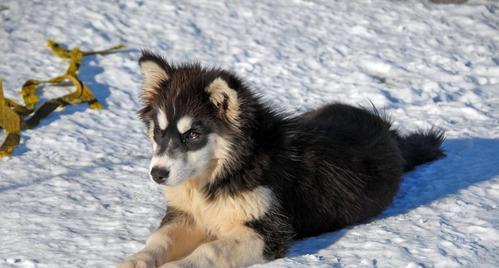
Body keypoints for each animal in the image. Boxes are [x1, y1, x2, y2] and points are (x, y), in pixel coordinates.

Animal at [119, 52, 448, 268]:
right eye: (158, 132)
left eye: (193, 135)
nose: (158, 174)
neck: (224, 171)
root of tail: (387, 130)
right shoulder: (185, 214)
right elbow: (159, 240)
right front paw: (136, 260)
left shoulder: (272, 232)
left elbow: (211, 251)